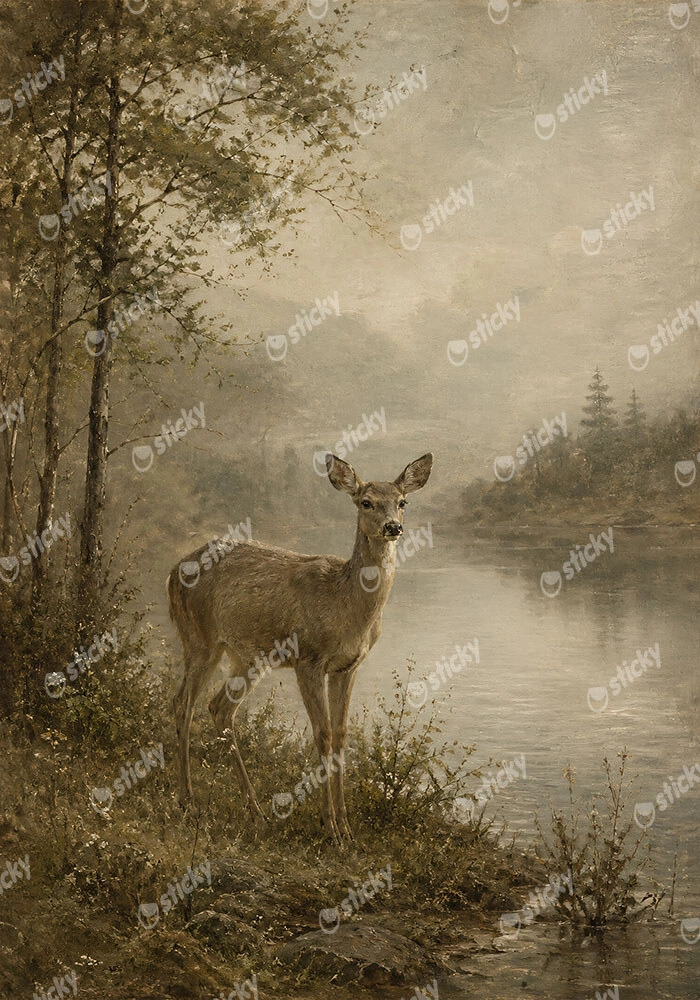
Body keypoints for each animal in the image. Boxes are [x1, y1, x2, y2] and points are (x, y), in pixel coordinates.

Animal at [167, 451, 433, 841]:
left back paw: (255, 810)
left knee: (219, 708)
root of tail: (172, 572)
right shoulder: (308, 659)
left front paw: (347, 827)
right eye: (366, 502)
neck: (345, 605)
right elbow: (322, 735)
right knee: (183, 704)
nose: (392, 528)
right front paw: (330, 826)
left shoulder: (348, 666)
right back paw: (188, 800)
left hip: (246, 656)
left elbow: (341, 735)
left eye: (402, 502)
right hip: (200, 638)